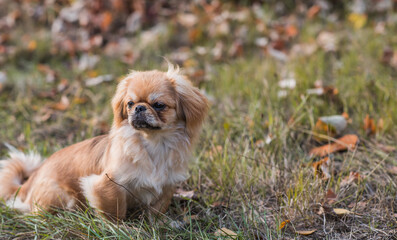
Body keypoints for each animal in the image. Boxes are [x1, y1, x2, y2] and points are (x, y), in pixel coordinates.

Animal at [0, 64, 209, 219]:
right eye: (130, 104)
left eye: (159, 105)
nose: (139, 108)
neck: (153, 144)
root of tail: (30, 181)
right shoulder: (106, 184)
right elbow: (114, 211)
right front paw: (120, 228)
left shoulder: (166, 186)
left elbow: (156, 210)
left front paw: (156, 224)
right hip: (61, 197)